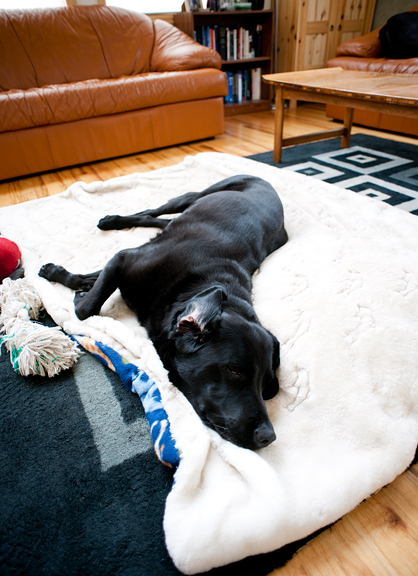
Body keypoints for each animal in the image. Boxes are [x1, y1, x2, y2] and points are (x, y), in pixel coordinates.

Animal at [40, 176, 288, 450]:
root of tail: (266, 181)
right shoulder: (124, 258)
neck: (191, 284)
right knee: (154, 211)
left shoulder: (125, 262)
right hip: (194, 195)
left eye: (266, 382)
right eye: (235, 371)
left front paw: (72, 282)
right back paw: (112, 220)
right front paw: (62, 278)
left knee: (161, 220)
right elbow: (87, 306)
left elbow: (92, 288)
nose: (268, 437)